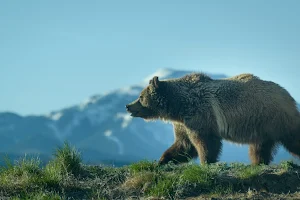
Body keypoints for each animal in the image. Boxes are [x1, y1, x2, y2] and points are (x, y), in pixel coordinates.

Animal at [125, 72, 300, 165]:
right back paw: (258, 163)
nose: (128, 106)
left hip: (274, 117)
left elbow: (205, 142)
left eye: (140, 97)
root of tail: (288, 95)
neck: (178, 106)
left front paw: (206, 162)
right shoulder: (183, 123)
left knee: (292, 139)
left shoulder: (200, 114)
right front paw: (162, 160)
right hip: (262, 126)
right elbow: (183, 145)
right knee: (260, 147)